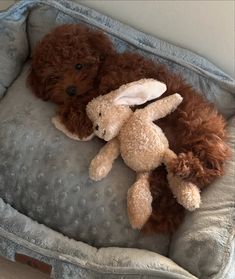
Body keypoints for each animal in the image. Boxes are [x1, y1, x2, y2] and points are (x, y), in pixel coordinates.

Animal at [27, 23, 229, 234]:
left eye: (79, 65)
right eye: (53, 76)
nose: (70, 90)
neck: (100, 72)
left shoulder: (120, 77)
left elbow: (90, 104)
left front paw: (74, 112)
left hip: (197, 125)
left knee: (211, 169)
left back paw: (187, 166)